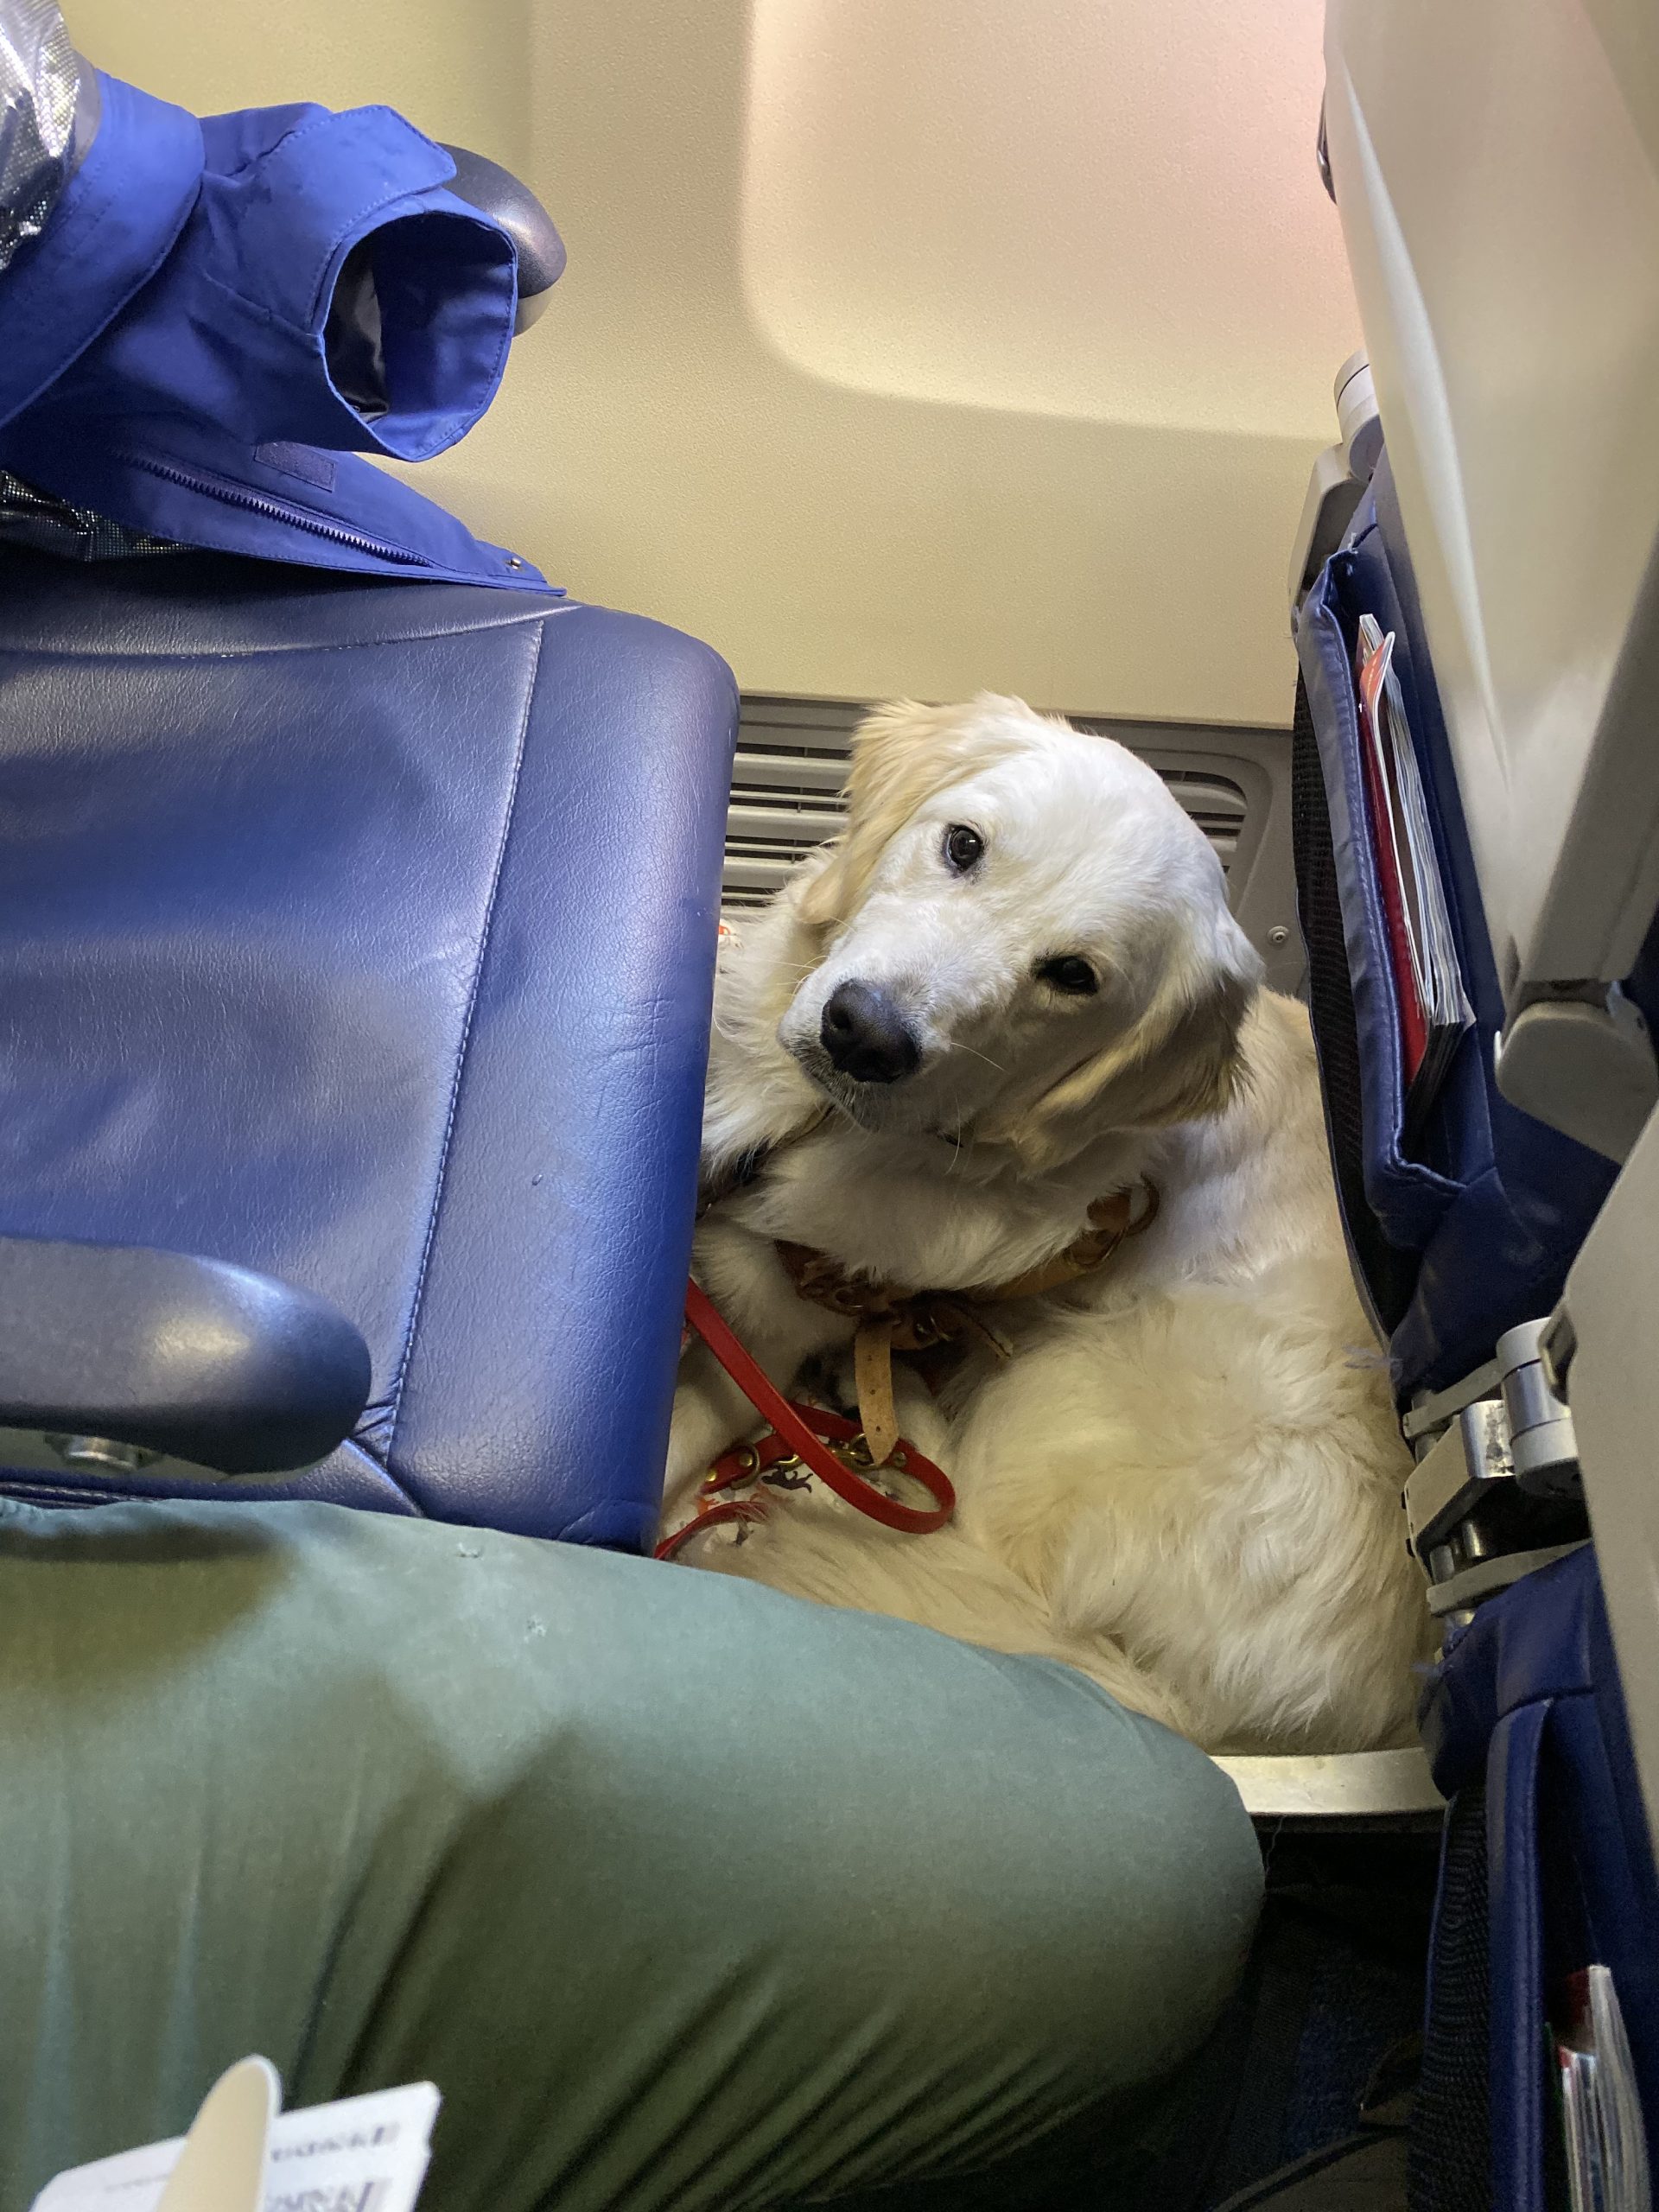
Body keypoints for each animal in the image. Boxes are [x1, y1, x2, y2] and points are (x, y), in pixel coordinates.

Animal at [668, 698, 1433, 1751]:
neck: (801, 1131)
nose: (864, 1034)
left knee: (969, 1524)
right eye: (963, 845)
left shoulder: (757, 1341)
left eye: (1073, 975)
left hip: (1100, 1376)